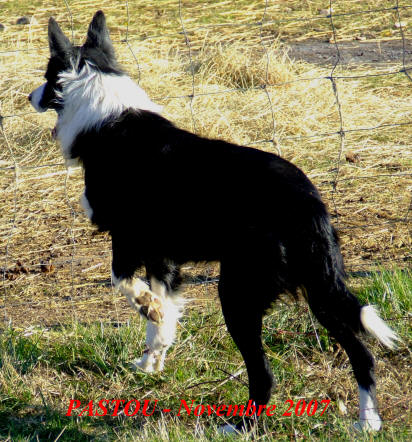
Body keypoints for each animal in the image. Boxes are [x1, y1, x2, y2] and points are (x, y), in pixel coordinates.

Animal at [29, 11, 400, 436]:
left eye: (47, 75)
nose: (29, 97)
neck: (105, 113)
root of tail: (306, 202)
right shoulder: (161, 256)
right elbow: (165, 312)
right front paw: (153, 356)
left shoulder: (127, 239)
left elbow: (125, 284)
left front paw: (147, 311)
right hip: (320, 289)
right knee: (362, 353)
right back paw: (367, 422)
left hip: (238, 294)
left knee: (263, 372)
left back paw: (241, 427)